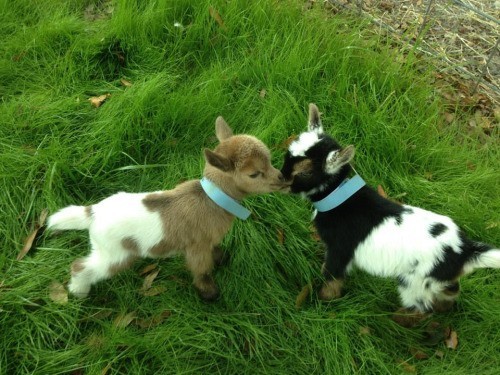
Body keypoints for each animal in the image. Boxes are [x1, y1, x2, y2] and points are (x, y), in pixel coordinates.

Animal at [48, 117, 290, 302]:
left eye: (269, 160)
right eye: (254, 174)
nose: (283, 179)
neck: (211, 198)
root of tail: (92, 213)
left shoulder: (208, 240)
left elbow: (215, 251)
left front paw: (222, 258)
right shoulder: (196, 248)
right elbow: (202, 270)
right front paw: (210, 294)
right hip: (114, 254)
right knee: (82, 267)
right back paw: (79, 292)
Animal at [282, 103, 500, 314]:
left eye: (306, 172)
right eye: (288, 153)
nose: (281, 179)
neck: (341, 197)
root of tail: (465, 250)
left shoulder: (340, 249)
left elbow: (331, 278)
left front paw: (323, 303)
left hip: (415, 282)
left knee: (421, 307)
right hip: (437, 279)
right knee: (451, 290)